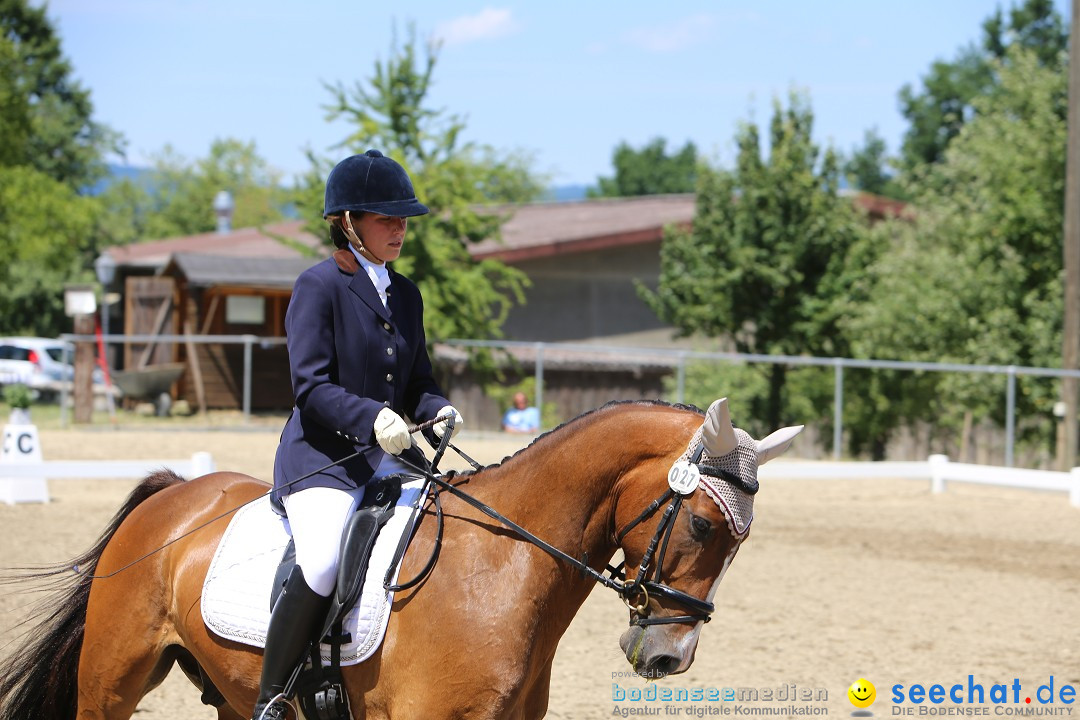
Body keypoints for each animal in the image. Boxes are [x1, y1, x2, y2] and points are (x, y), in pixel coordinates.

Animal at [0, 399, 803, 720]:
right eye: (701, 523)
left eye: (740, 541)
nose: (669, 658)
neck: (502, 566)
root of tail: (173, 495)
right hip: (113, 682)